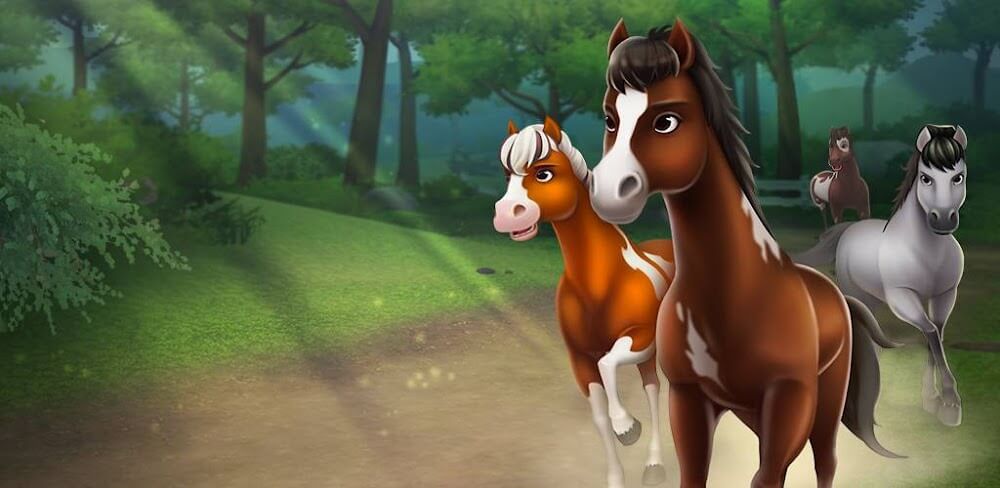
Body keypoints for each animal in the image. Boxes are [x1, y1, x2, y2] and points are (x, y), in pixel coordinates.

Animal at [493, 117, 675, 488]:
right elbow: (599, 417)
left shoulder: (639, 338)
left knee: (655, 392)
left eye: (544, 173)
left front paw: (627, 427)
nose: (505, 215)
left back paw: (654, 464)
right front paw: (617, 470)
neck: (602, 283)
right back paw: (653, 465)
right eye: (507, 177)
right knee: (651, 388)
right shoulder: (578, 359)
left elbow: (608, 364)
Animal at [586, 19, 900, 488]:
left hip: (823, 402)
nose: (607, 193)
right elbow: (695, 473)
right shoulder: (689, 400)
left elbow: (768, 476)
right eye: (609, 118)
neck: (735, 294)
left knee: (825, 462)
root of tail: (837, 297)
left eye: (666, 120)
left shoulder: (788, 400)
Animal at [796, 124, 968, 427]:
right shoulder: (902, 298)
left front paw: (932, 400)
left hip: (873, 299)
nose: (943, 219)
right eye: (925, 178)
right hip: (857, 293)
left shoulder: (945, 296)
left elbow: (936, 335)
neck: (925, 251)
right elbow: (931, 333)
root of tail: (850, 229)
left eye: (958, 176)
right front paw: (950, 402)